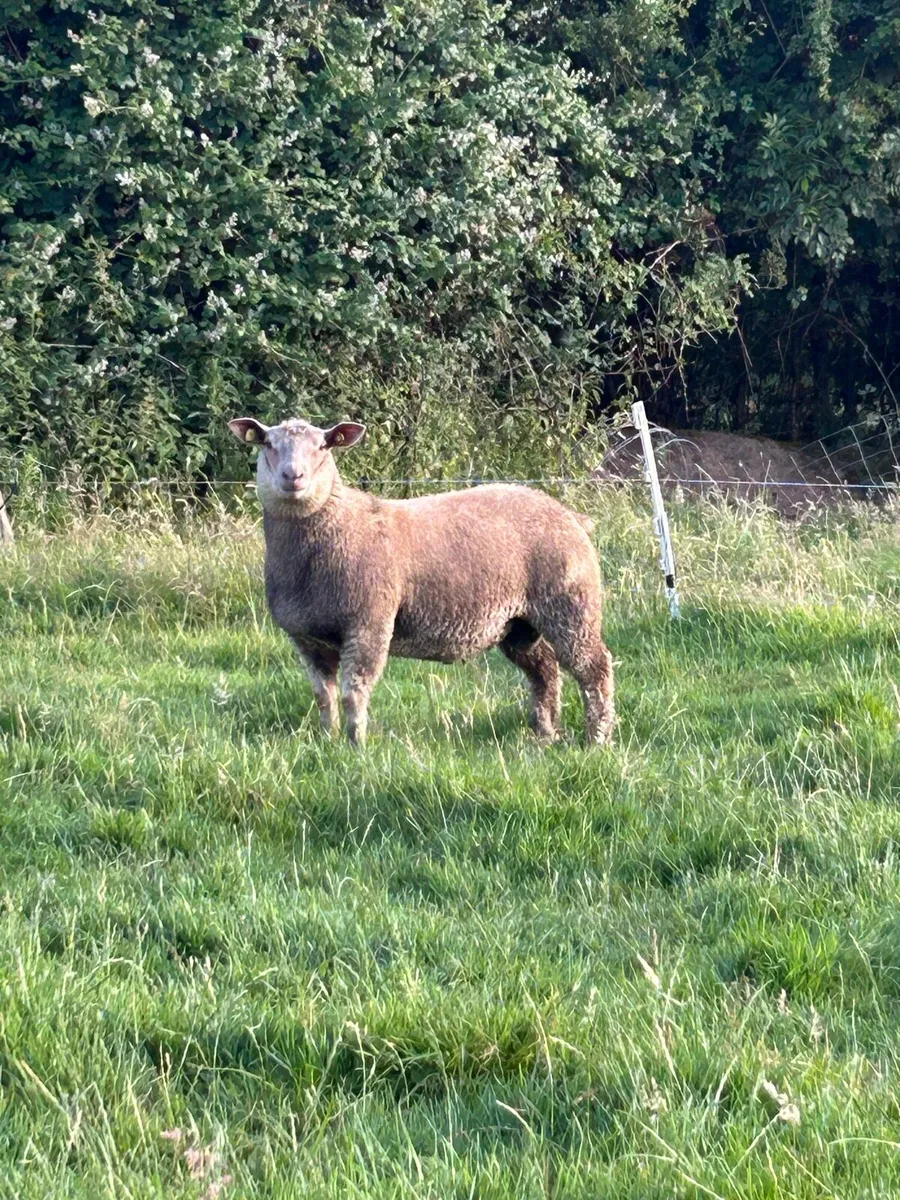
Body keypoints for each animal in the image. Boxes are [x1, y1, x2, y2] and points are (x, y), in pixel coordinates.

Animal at [229, 415, 614, 747]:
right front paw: (328, 739)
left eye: (323, 446)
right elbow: (324, 696)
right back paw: (546, 735)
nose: (293, 476)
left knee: (594, 668)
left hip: (571, 603)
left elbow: (355, 691)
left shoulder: (369, 623)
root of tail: (571, 515)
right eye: (268, 443)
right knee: (545, 670)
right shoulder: (306, 637)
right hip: (519, 623)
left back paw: (597, 739)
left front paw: (356, 745)